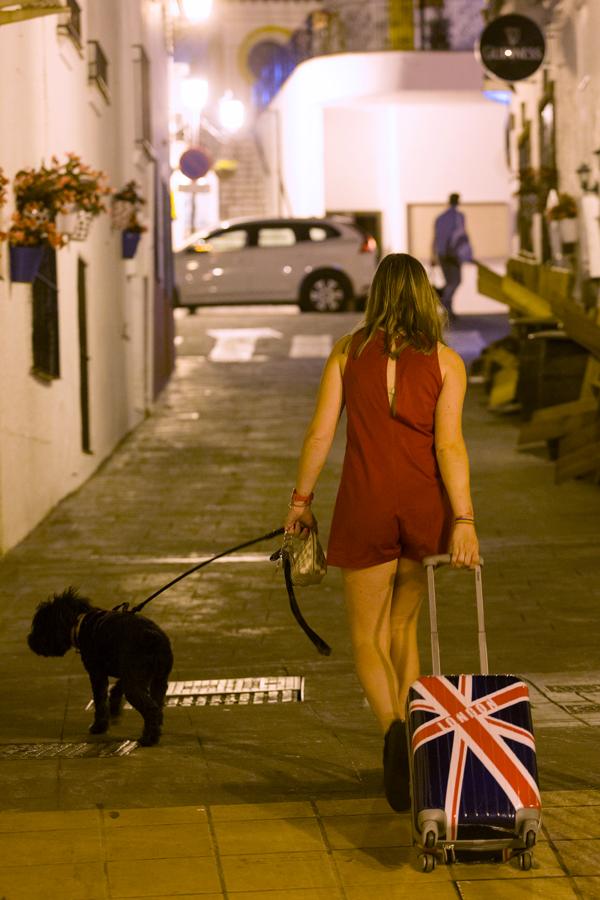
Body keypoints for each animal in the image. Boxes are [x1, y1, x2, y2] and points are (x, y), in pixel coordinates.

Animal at [28, 584, 173, 744]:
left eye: (40, 626)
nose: (30, 641)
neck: (81, 622)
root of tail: (152, 636)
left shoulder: (97, 674)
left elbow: (100, 702)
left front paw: (98, 727)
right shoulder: (127, 672)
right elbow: (116, 688)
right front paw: (114, 706)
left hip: (134, 687)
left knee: (151, 709)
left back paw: (148, 738)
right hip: (158, 681)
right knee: (158, 706)